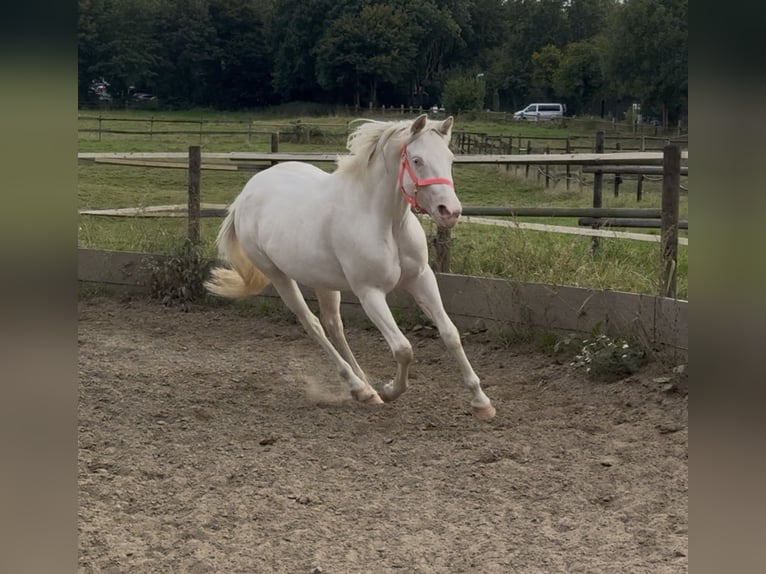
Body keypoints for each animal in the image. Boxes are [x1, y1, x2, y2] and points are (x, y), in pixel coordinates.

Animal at [206, 116, 498, 424]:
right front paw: (390, 390)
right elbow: (403, 349)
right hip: (278, 276)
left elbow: (450, 334)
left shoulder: (421, 278)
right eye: (417, 160)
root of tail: (246, 194)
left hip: (322, 281)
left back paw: (366, 387)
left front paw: (482, 402)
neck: (386, 221)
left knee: (334, 326)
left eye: (450, 159)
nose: (449, 211)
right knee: (313, 324)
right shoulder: (370, 292)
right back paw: (361, 388)